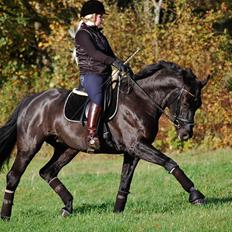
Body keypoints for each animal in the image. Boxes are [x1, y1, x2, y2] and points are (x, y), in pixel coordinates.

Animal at [0, 61, 209, 219]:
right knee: (14, 176)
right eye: (187, 102)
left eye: (198, 104)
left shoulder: (133, 151)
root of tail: (32, 100)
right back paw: (6, 215)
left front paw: (117, 211)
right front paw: (196, 195)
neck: (140, 101)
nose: (186, 134)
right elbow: (170, 163)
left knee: (47, 172)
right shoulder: (138, 146)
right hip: (29, 147)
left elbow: (125, 181)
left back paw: (68, 206)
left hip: (67, 148)